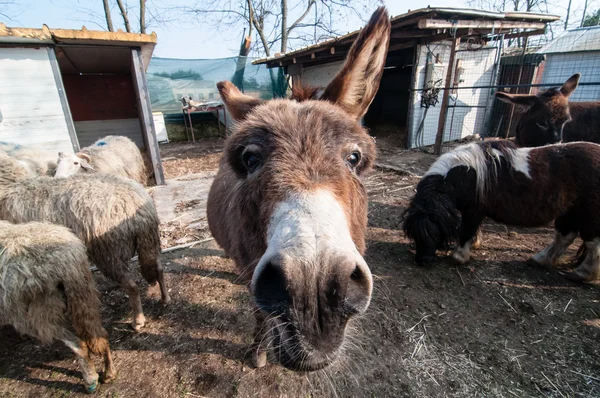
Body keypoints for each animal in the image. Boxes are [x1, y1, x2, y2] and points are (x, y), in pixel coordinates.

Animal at [0, 171, 171, 330]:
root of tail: (137, 204)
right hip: (149, 242)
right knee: (159, 269)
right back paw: (165, 299)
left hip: (108, 253)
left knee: (132, 286)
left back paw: (138, 321)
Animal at [0, 221, 116, 392]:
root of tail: (65, 261)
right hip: (83, 296)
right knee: (99, 335)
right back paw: (109, 373)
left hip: (40, 312)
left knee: (78, 344)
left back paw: (90, 381)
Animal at [404, 140, 600, 282]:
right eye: (414, 234)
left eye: (435, 232)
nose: (422, 261)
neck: (465, 174)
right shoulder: (476, 211)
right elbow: (474, 230)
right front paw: (474, 244)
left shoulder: (472, 211)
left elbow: (467, 230)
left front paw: (459, 256)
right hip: (570, 213)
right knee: (564, 237)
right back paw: (540, 260)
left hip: (587, 216)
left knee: (592, 243)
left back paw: (582, 274)